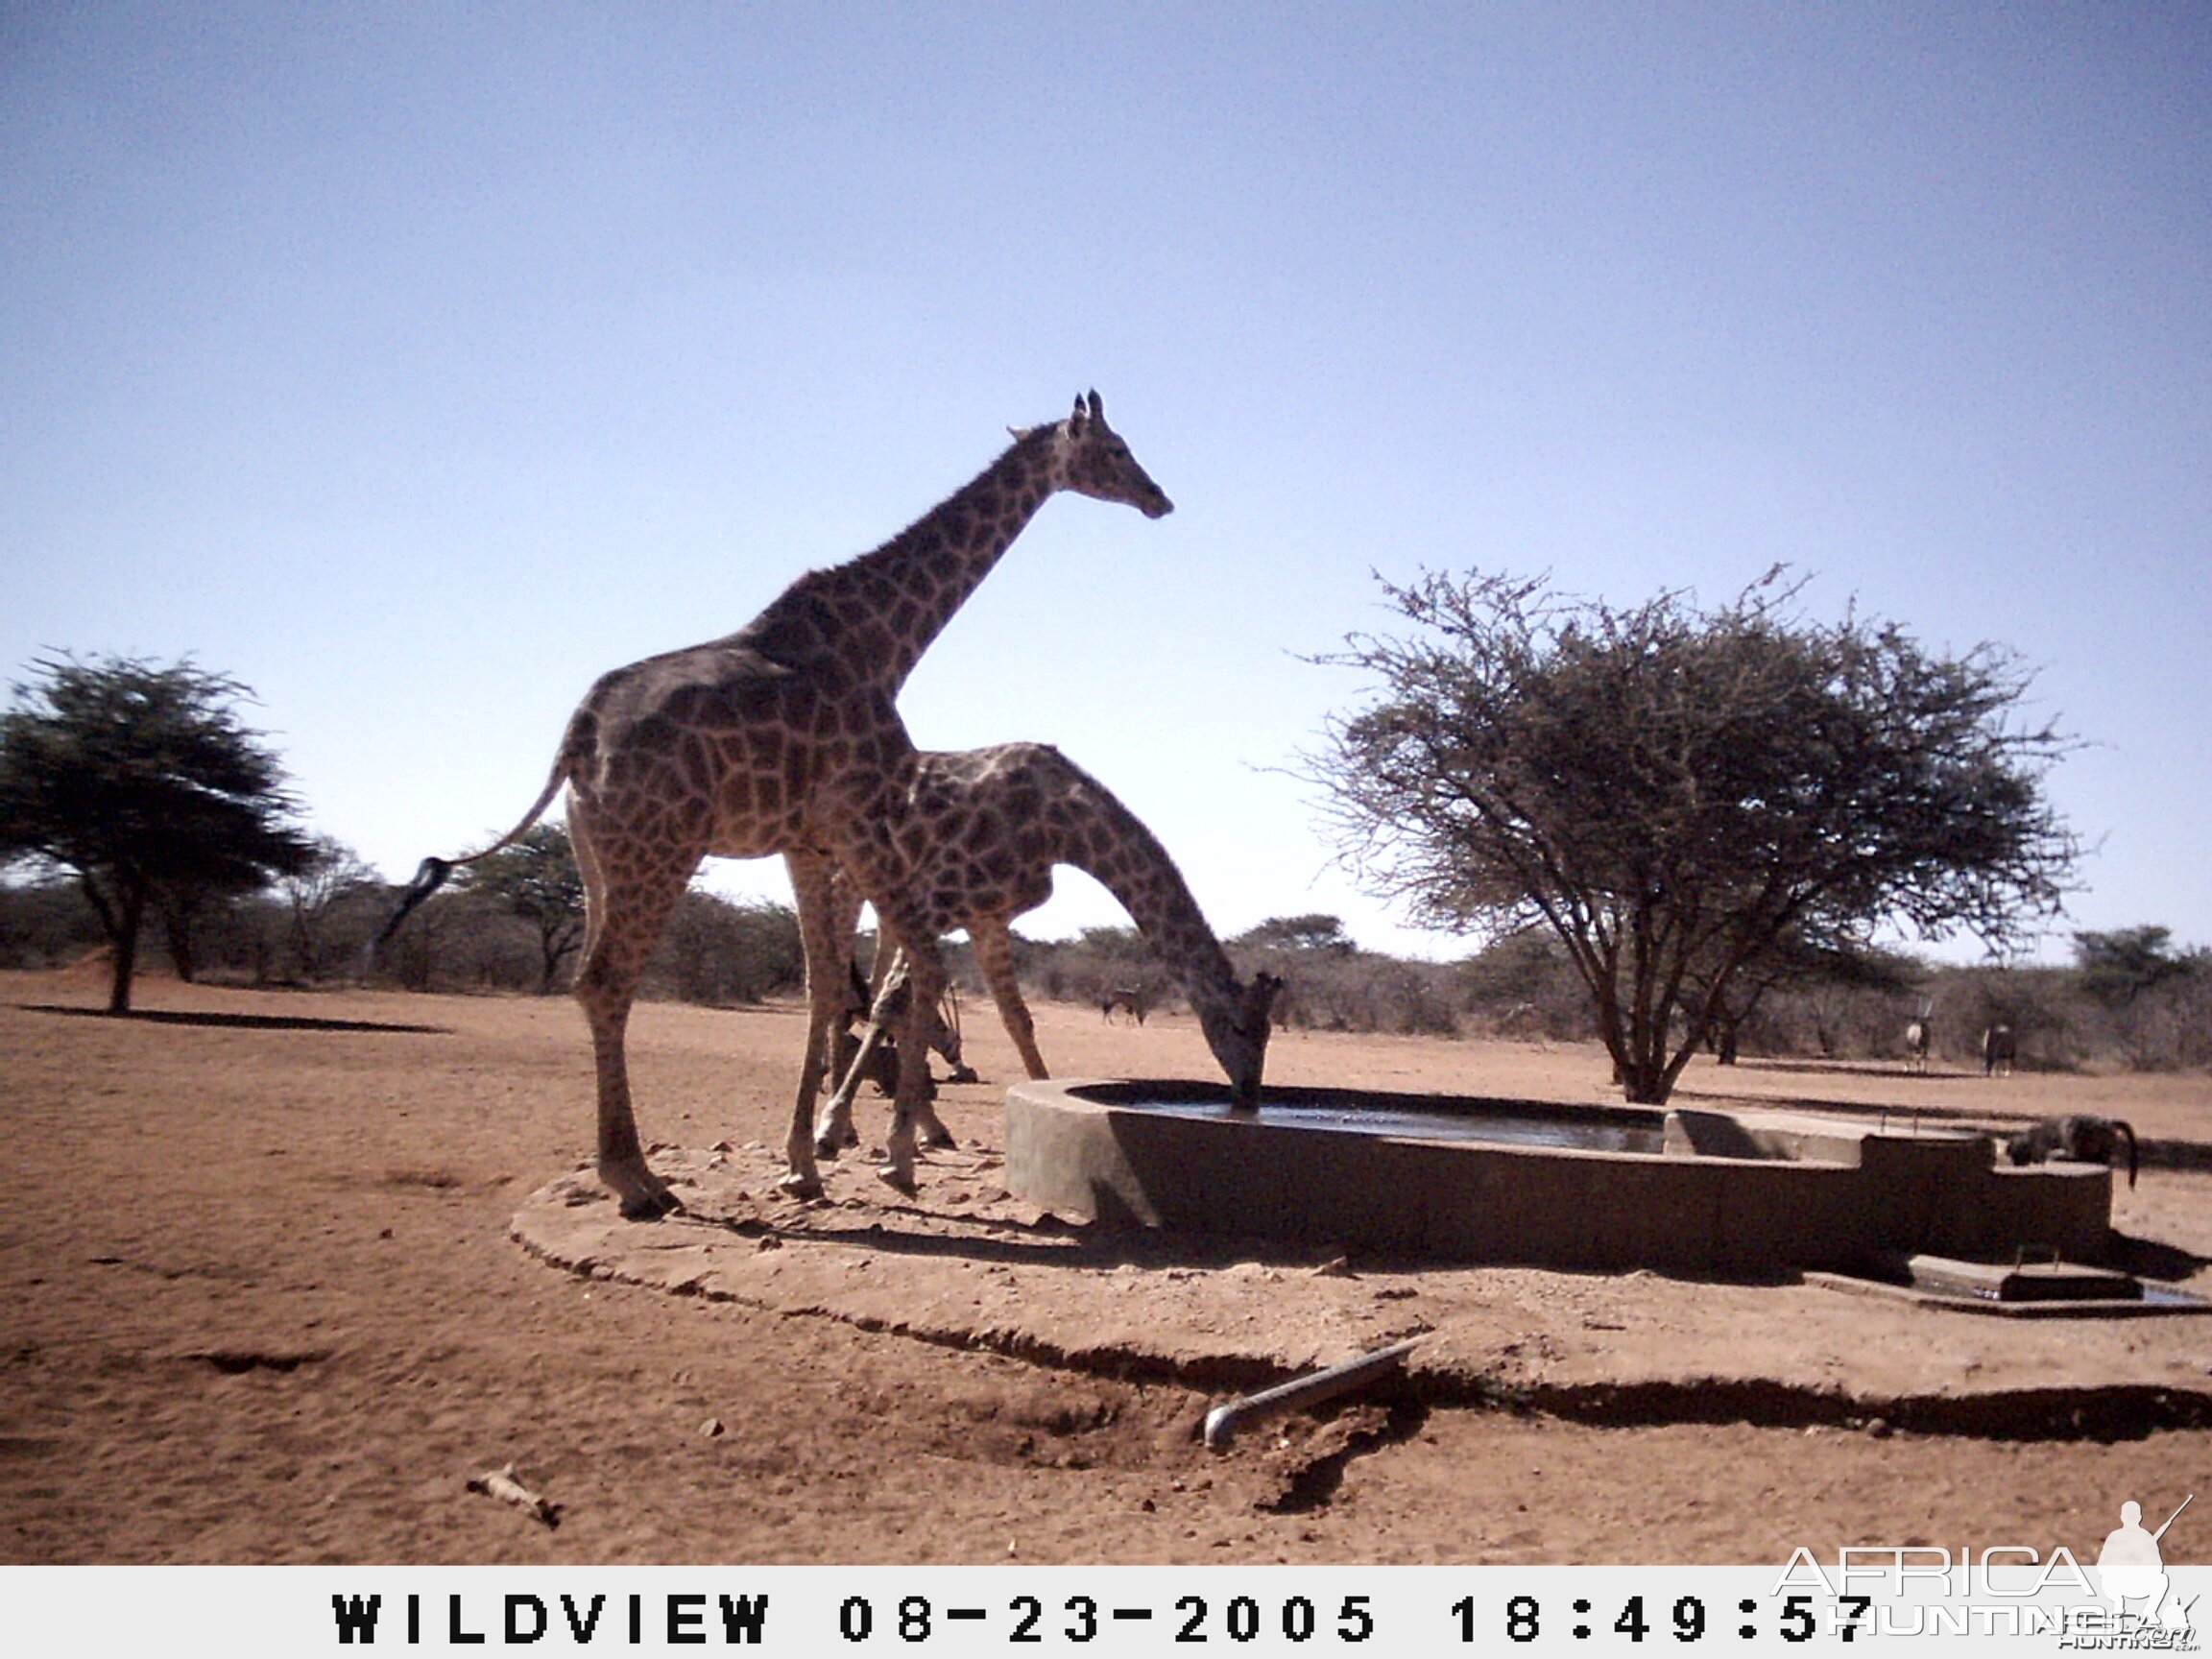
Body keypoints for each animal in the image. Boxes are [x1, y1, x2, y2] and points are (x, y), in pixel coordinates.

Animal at [380, 394, 1176, 1212]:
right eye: (1115, 449)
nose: (1159, 499)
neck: (880, 642)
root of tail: (577, 736)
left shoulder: (808, 842)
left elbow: (823, 986)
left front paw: (807, 1159)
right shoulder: (856, 824)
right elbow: (897, 978)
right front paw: (880, 1151)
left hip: (597, 856)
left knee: (588, 981)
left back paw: (637, 1168)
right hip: (657, 852)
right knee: (606, 982)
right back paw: (637, 1177)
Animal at [809, 747, 1283, 1159]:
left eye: (1268, 1032)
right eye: (1240, 1028)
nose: (1248, 1096)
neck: (1061, 824)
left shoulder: (986, 918)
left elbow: (1017, 1020)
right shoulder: (938, 897)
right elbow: (893, 1001)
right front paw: (831, 1127)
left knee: (858, 988)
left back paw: (905, 1127)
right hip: (847, 881)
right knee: (838, 987)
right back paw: (838, 1131)